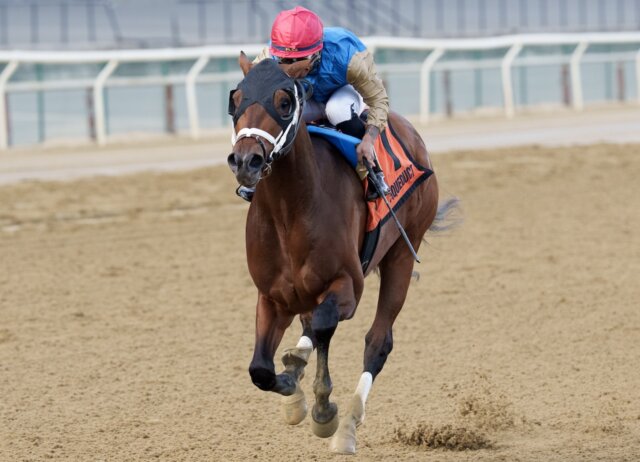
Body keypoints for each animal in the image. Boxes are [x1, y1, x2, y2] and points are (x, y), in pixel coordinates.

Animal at [228, 55, 452, 454]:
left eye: (283, 102)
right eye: (235, 99)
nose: (245, 161)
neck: (290, 210)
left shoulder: (347, 285)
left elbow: (324, 325)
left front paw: (322, 410)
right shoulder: (272, 296)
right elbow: (260, 369)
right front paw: (291, 386)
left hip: (401, 254)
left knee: (377, 342)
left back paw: (347, 426)